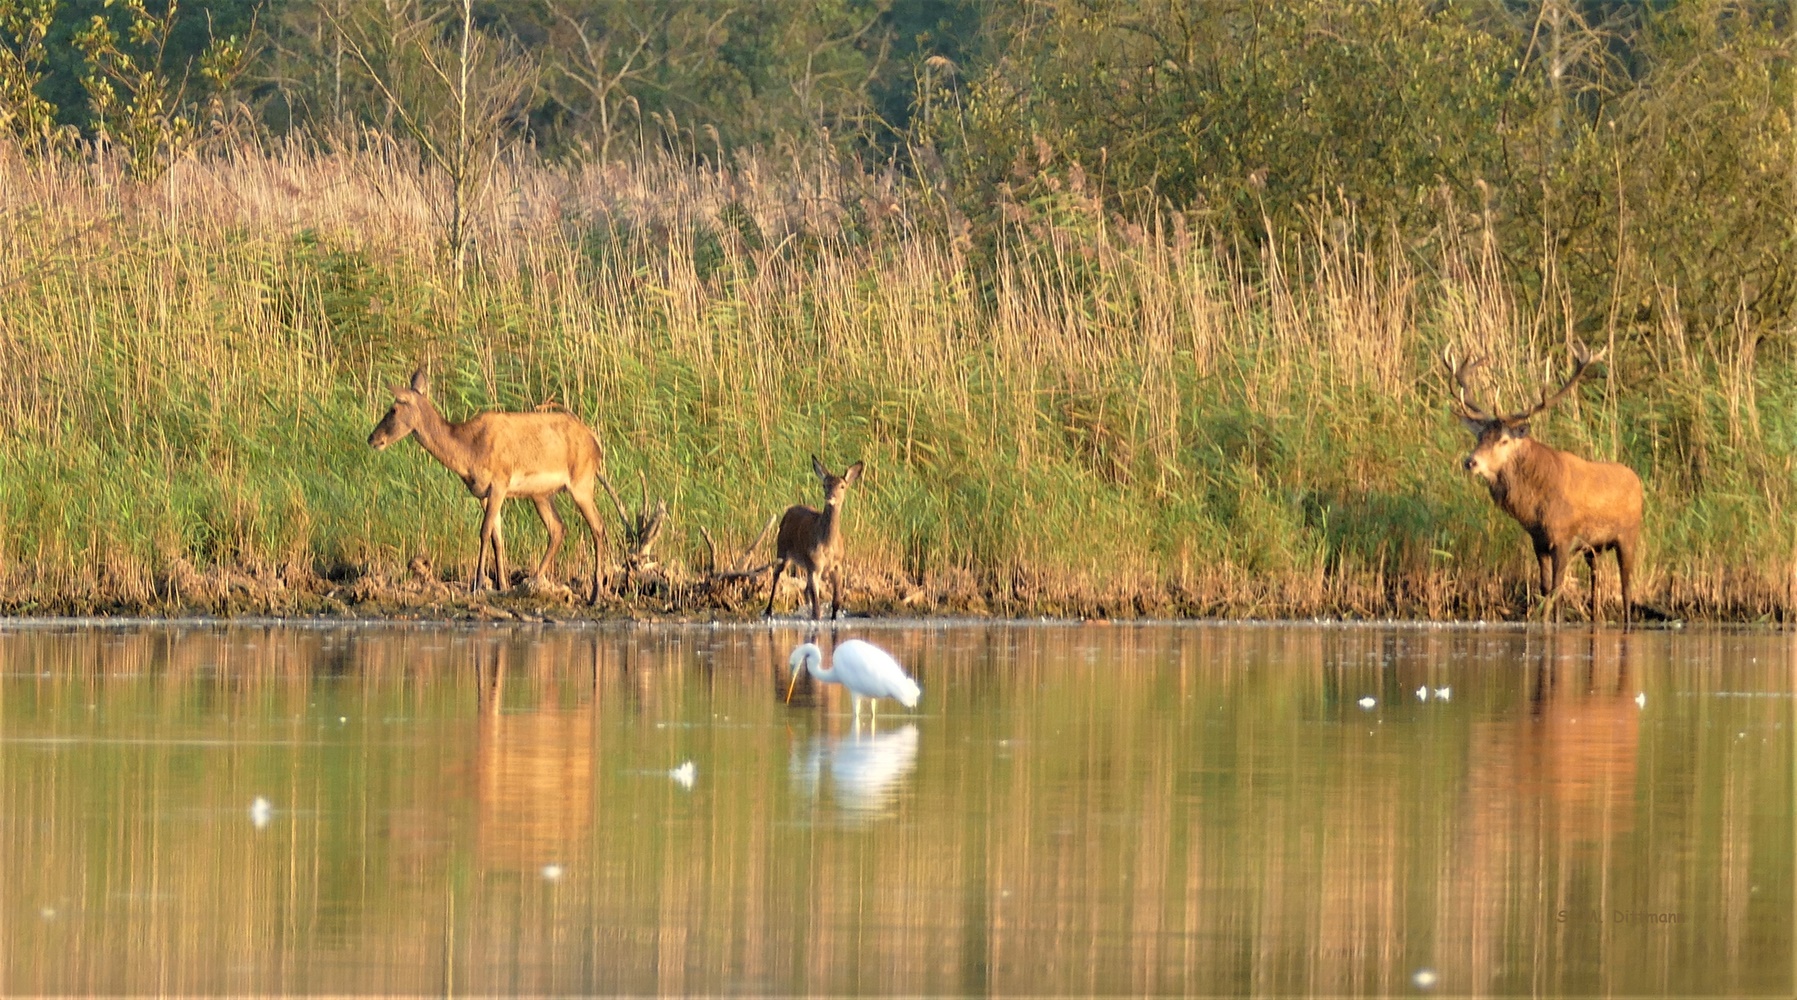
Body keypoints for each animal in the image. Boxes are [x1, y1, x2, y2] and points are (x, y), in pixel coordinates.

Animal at [370, 366, 610, 600]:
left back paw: (596, 593)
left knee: (597, 526)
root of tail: (596, 443)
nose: (372, 438)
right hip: (541, 494)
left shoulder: (499, 483)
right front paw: (501, 585)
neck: (468, 452)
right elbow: (497, 537)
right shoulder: (483, 492)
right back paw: (534, 580)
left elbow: (484, 531)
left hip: (581, 482)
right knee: (558, 528)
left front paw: (478, 584)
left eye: (393, 409)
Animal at [765, 458, 862, 618]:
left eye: (842, 486)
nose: (830, 497)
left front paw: (833, 617)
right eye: (825, 485)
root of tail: (789, 510)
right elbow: (817, 609)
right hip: (782, 549)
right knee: (776, 575)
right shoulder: (814, 565)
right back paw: (768, 610)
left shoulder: (837, 565)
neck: (827, 545)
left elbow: (836, 602)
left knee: (805, 590)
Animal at [1444, 347, 1646, 622]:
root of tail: (1637, 480)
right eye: (1480, 436)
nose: (1470, 462)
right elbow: (1544, 587)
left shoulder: (1564, 536)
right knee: (1596, 582)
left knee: (1626, 588)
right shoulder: (1538, 540)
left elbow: (1555, 590)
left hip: (1628, 534)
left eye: (1504, 440)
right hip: (1593, 548)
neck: (1534, 506)